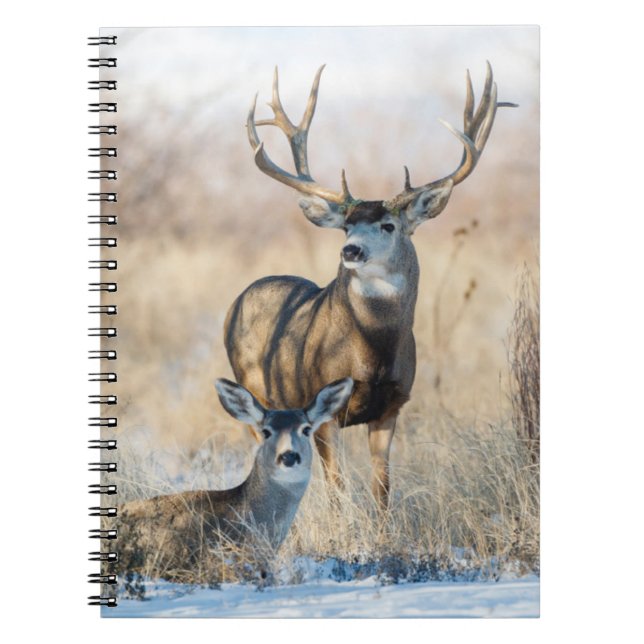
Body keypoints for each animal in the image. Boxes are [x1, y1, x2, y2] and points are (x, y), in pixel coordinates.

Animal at [224, 62, 516, 510]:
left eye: (388, 225)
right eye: (346, 225)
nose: (351, 250)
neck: (372, 352)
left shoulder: (392, 406)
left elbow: (382, 488)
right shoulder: (323, 408)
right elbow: (338, 489)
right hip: (255, 390)